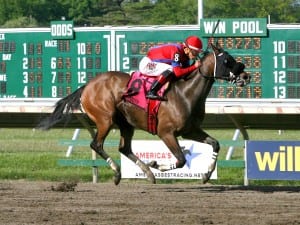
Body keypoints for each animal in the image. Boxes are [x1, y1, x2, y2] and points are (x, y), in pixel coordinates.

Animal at [38, 45, 250, 185]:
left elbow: (215, 144)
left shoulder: (190, 130)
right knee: (96, 144)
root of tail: (87, 85)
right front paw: (157, 164)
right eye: (226, 60)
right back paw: (118, 173)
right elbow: (181, 160)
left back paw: (147, 173)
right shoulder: (166, 133)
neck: (185, 94)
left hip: (126, 124)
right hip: (105, 119)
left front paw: (206, 175)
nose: (246, 76)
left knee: (124, 148)